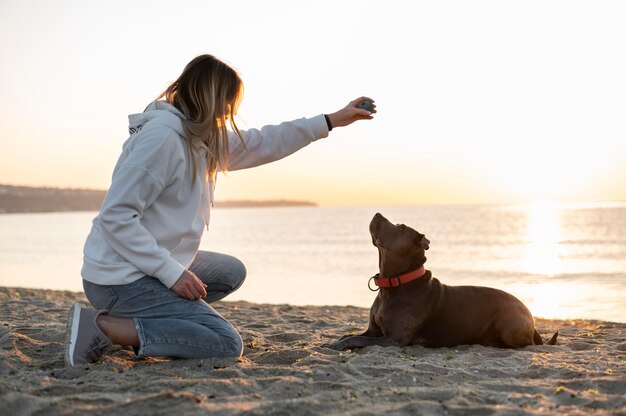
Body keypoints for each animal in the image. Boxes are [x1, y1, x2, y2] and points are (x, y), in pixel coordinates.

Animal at [326, 211, 556, 352]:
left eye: (400, 228)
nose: (377, 213)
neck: (394, 284)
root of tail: (530, 315)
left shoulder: (394, 339)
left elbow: (356, 338)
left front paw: (335, 346)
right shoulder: (374, 330)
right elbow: (348, 334)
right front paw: (335, 342)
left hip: (508, 322)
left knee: (525, 345)